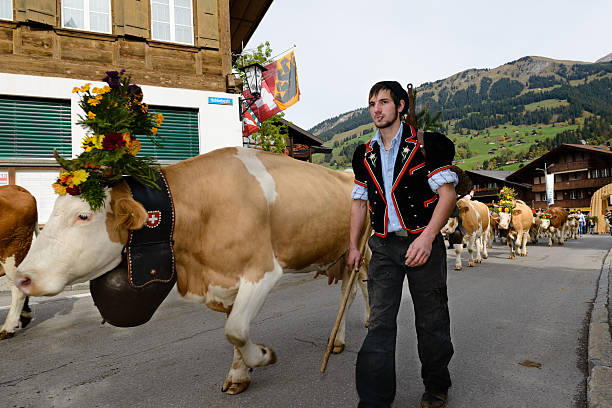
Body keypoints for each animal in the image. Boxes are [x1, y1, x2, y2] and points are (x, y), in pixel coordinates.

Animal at [15, 147, 368, 396]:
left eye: (83, 216)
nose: (22, 277)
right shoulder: (222, 280)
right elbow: (234, 330)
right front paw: (239, 375)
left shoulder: (262, 270)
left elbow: (236, 329)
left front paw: (264, 356)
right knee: (348, 292)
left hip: (360, 252)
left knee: (354, 290)